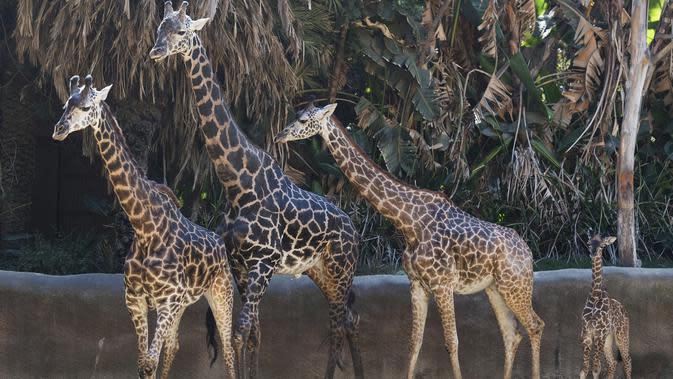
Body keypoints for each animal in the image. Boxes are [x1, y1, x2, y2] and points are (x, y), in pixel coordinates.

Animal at [50, 75, 234, 379]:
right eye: (66, 104)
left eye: (87, 107)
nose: (59, 129)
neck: (146, 227)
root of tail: (220, 244)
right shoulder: (136, 300)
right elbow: (144, 364)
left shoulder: (168, 299)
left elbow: (149, 361)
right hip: (181, 305)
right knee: (173, 346)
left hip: (221, 293)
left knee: (230, 350)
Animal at [150, 2, 364, 379]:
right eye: (160, 28)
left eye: (182, 32)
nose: (155, 52)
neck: (237, 183)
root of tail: (354, 231)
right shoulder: (240, 265)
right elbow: (252, 332)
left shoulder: (262, 263)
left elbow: (240, 330)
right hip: (320, 272)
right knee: (349, 319)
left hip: (340, 269)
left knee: (339, 323)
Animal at [276, 102, 544, 378]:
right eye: (296, 115)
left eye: (304, 120)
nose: (280, 135)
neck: (409, 221)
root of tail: (528, 253)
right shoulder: (417, 285)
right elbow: (414, 342)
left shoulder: (442, 284)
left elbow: (452, 342)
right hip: (496, 289)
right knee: (512, 334)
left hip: (515, 285)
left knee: (535, 325)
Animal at [576, 235, 632, 379]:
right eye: (589, 243)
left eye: (602, 245)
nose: (593, 253)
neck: (595, 296)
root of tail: (625, 311)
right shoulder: (586, 334)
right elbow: (584, 369)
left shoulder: (599, 333)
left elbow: (596, 369)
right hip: (608, 338)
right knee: (612, 362)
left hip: (621, 334)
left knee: (627, 360)